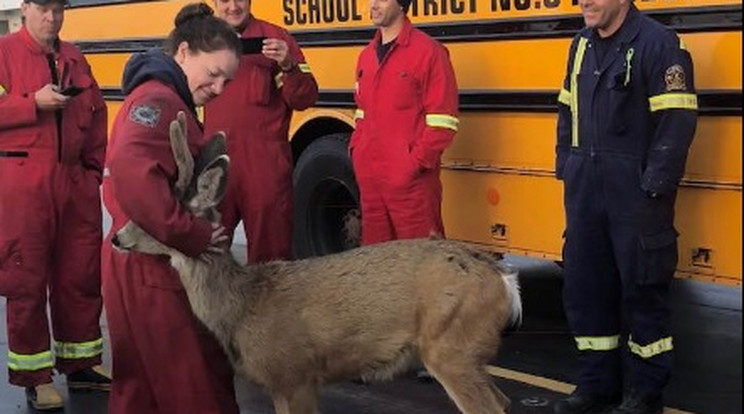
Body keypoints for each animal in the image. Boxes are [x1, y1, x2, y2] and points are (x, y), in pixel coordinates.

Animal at [113, 111, 524, 412]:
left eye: (149, 213)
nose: (117, 237)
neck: (244, 305)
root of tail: (505, 282)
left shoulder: (293, 373)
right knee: (504, 400)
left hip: (452, 345)